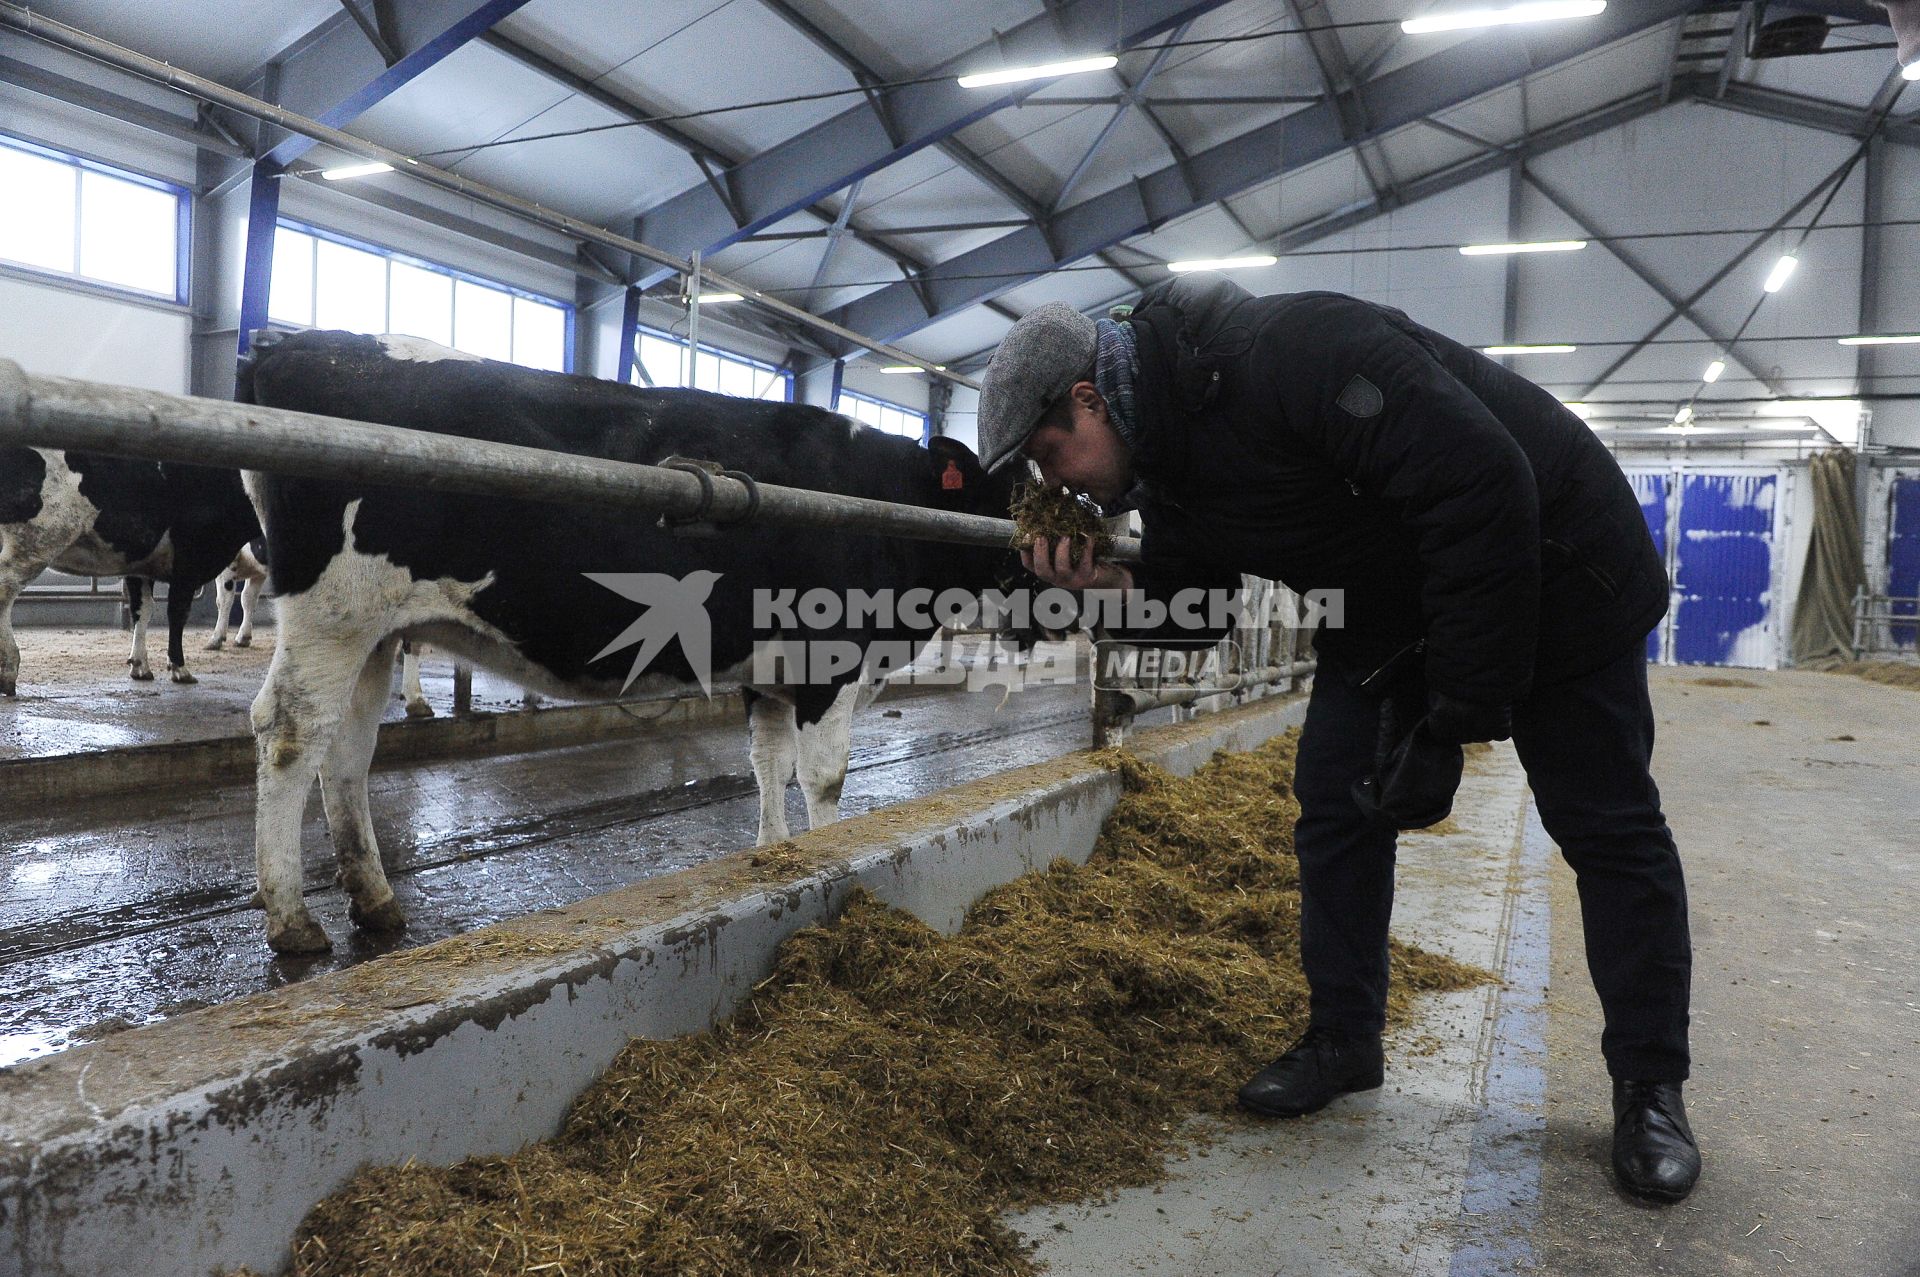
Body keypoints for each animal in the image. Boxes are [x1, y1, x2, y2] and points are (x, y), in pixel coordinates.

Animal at [0, 443, 261, 691]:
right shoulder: (189, 562)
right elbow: (177, 614)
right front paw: (179, 668)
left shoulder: (139, 568)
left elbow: (142, 610)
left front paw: (139, 666)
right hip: (36, 541)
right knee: (5, 590)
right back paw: (8, 669)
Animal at [236, 328, 1021, 944]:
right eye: (1015, 492)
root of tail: (290, 344)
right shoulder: (829, 664)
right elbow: (822, 778)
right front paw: (836, 853)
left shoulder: (767, 675)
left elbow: (768, 766)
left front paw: (774, 857)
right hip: (333, 611)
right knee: (289, 732)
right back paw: (293, 919)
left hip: (373, 629)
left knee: (347, 748)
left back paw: (374, 901)